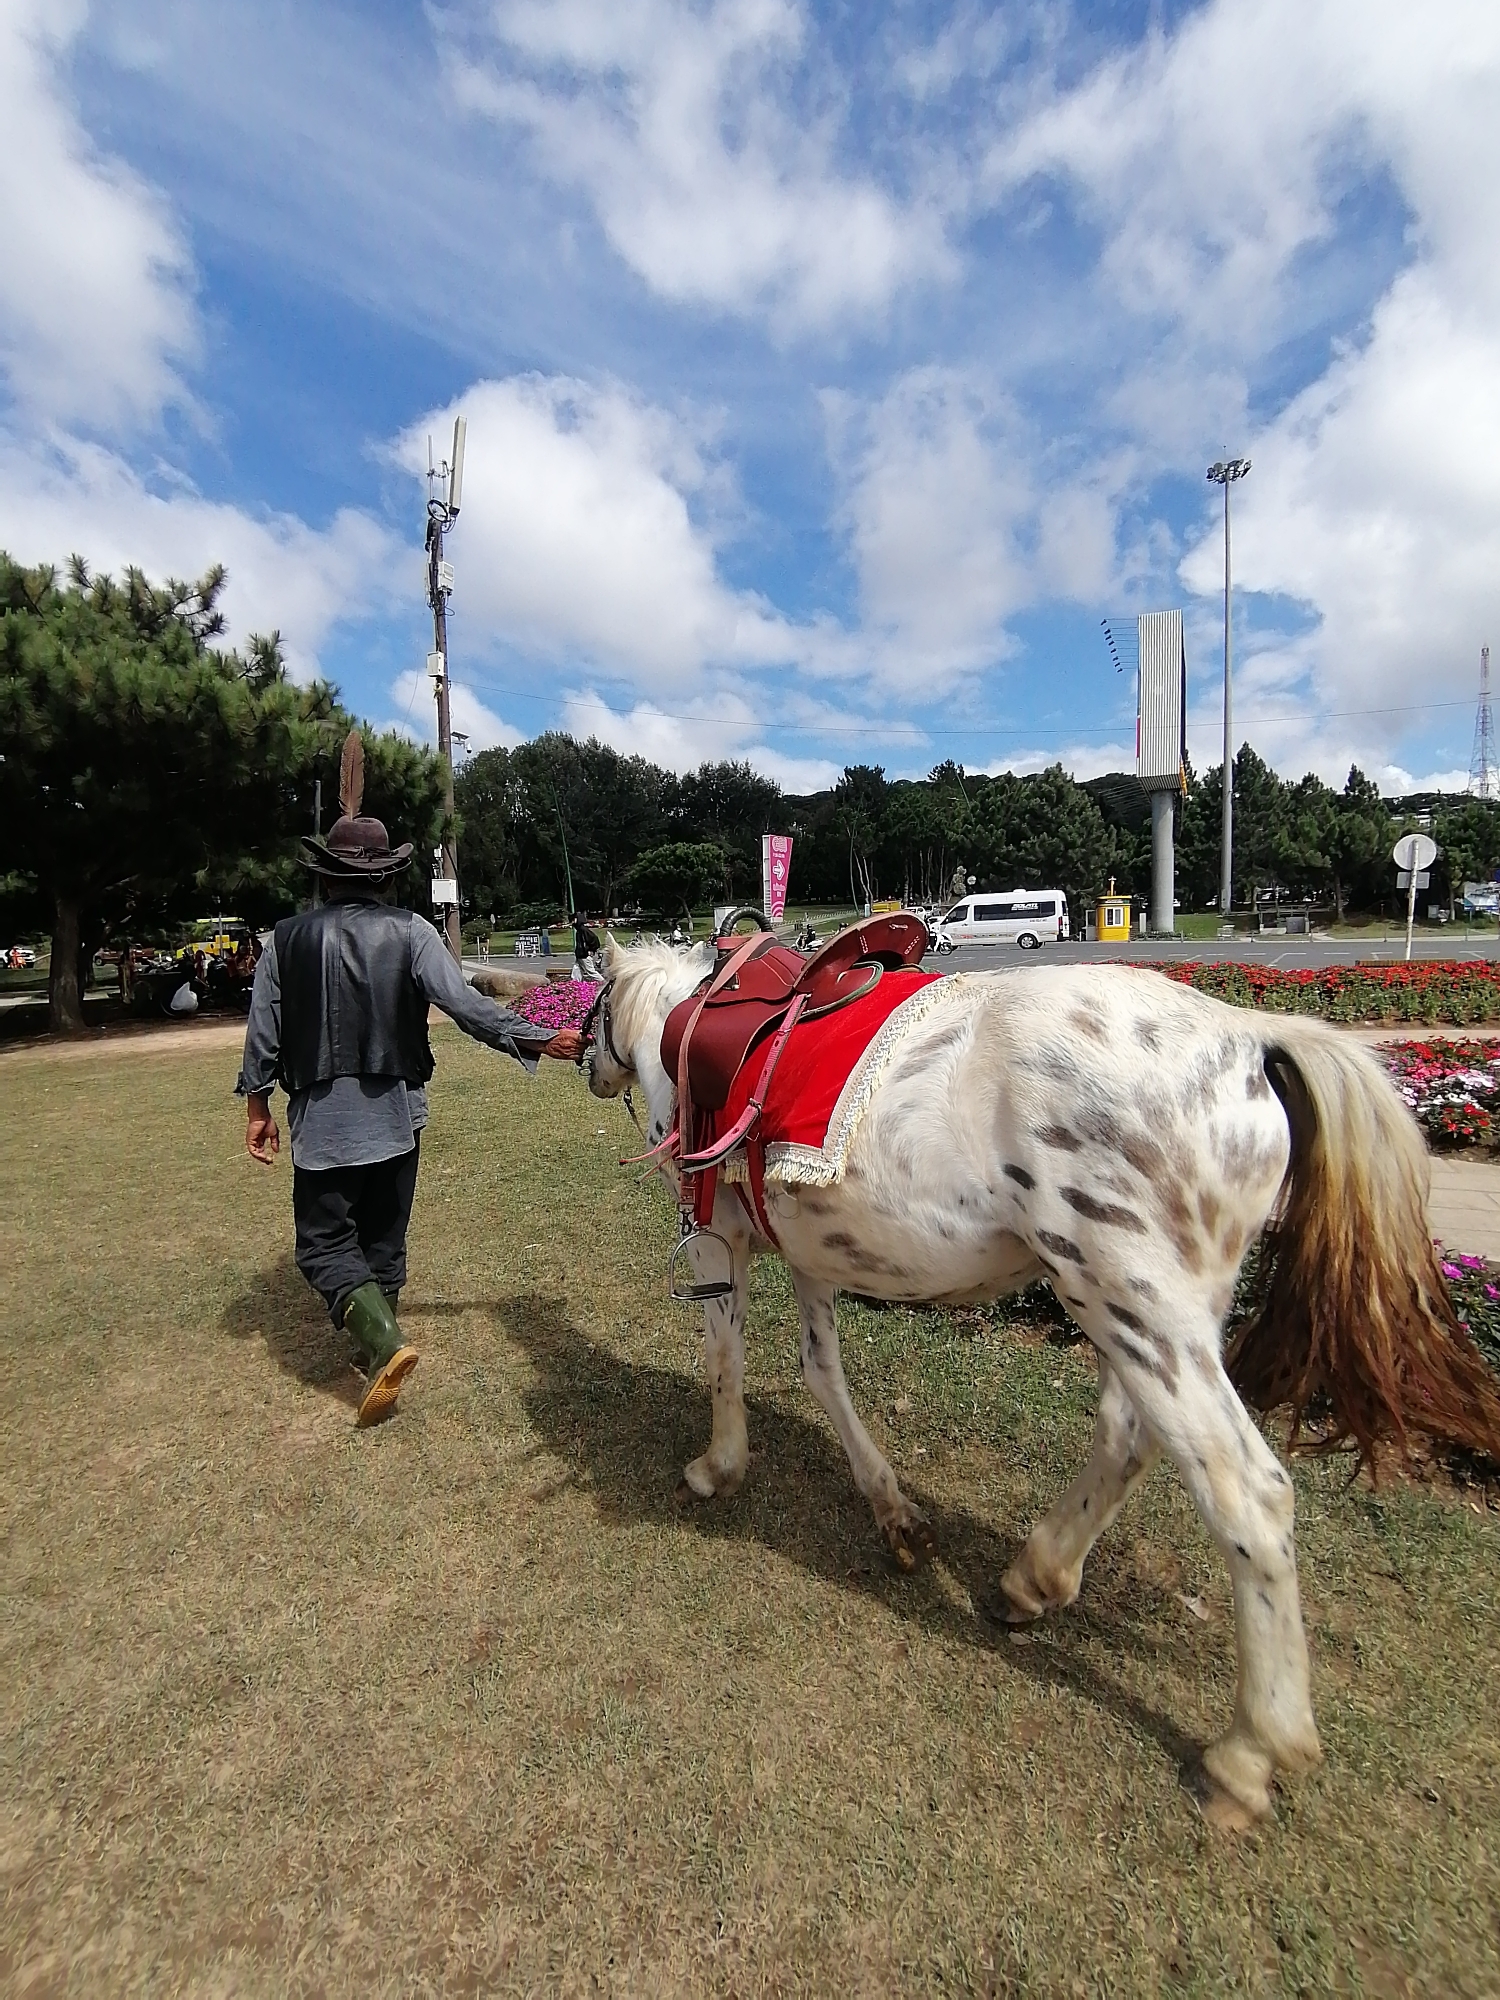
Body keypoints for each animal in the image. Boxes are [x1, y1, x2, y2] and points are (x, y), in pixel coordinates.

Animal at [583, 934, 1500, 1828]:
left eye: (593, 1010)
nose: (590, 1066)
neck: (686, 1022)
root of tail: (1248, 1038)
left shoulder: (713, 1234)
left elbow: (724, 1355)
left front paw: (719, 1466)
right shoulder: (810, 1247)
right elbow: (822, 1371)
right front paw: (891, 1508)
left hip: (1127, 1298)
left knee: (1246, 1493)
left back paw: (1250, 1751)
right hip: (1146, 1308)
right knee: (1129, 1438)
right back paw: (1038, 1578)